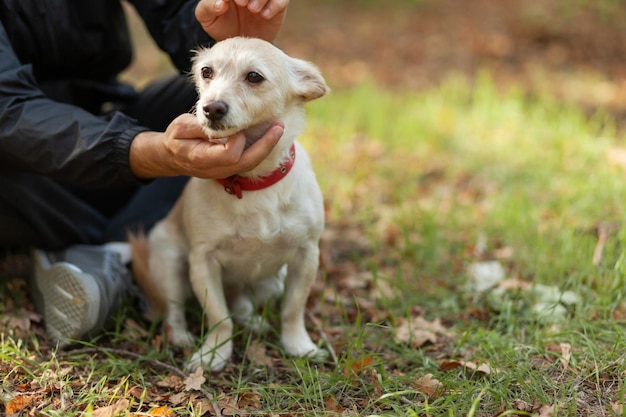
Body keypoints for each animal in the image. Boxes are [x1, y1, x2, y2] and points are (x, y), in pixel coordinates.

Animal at [130, 36, 330, 370]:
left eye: (254, 77)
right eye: (206, 72)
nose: (211, 108)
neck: (251, 182)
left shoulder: (306, 256)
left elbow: (292, 310)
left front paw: (299, 346)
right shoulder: (203, 262)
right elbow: (218, 317)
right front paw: (214, 353)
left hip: (273, 282)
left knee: (241, 305)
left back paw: (252, 321)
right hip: (169, 266)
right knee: (174, 312)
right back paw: (180, 337)